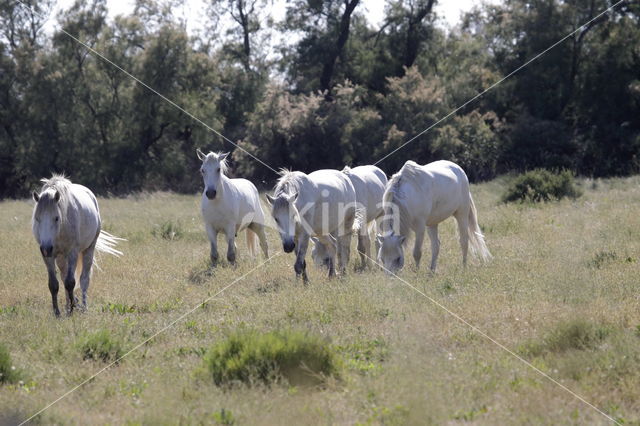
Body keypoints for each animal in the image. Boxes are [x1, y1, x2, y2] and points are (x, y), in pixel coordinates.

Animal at [31, 174, 124, 316]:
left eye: (56, 218)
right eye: (37, 218)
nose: (46, 248)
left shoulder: (72, 253)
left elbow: (71, 282)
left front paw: (72, 309)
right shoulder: (48, 256)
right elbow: (54, 284)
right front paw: (57, 312)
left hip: (88, 250)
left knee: (84, 279)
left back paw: (83, 307)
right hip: (60, 257)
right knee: (63, 277)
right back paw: (67, 305)